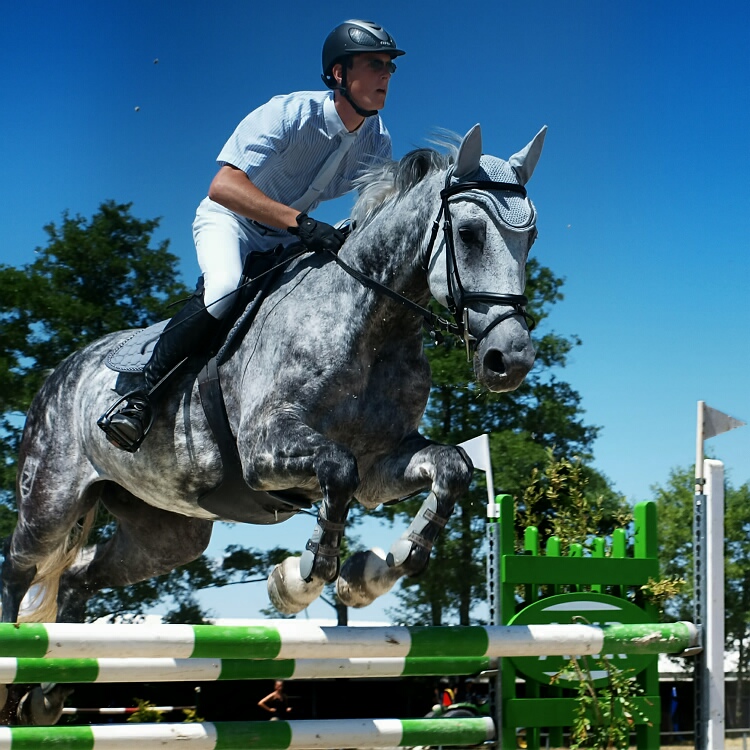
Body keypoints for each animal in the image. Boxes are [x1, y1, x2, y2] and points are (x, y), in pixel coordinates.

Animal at [0, 125, 548, 728]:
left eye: (531, 238)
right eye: (470, 234)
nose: (510, 360)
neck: (372, 322)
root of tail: (60, 373)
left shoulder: (384, 465)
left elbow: (451, 467)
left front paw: (382, 566)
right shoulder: (264, 451)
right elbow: (338, 469)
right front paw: (303, 577)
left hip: (168, 533)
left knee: (81, 574)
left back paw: (48, 694)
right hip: (49, 501)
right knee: (19, 572)